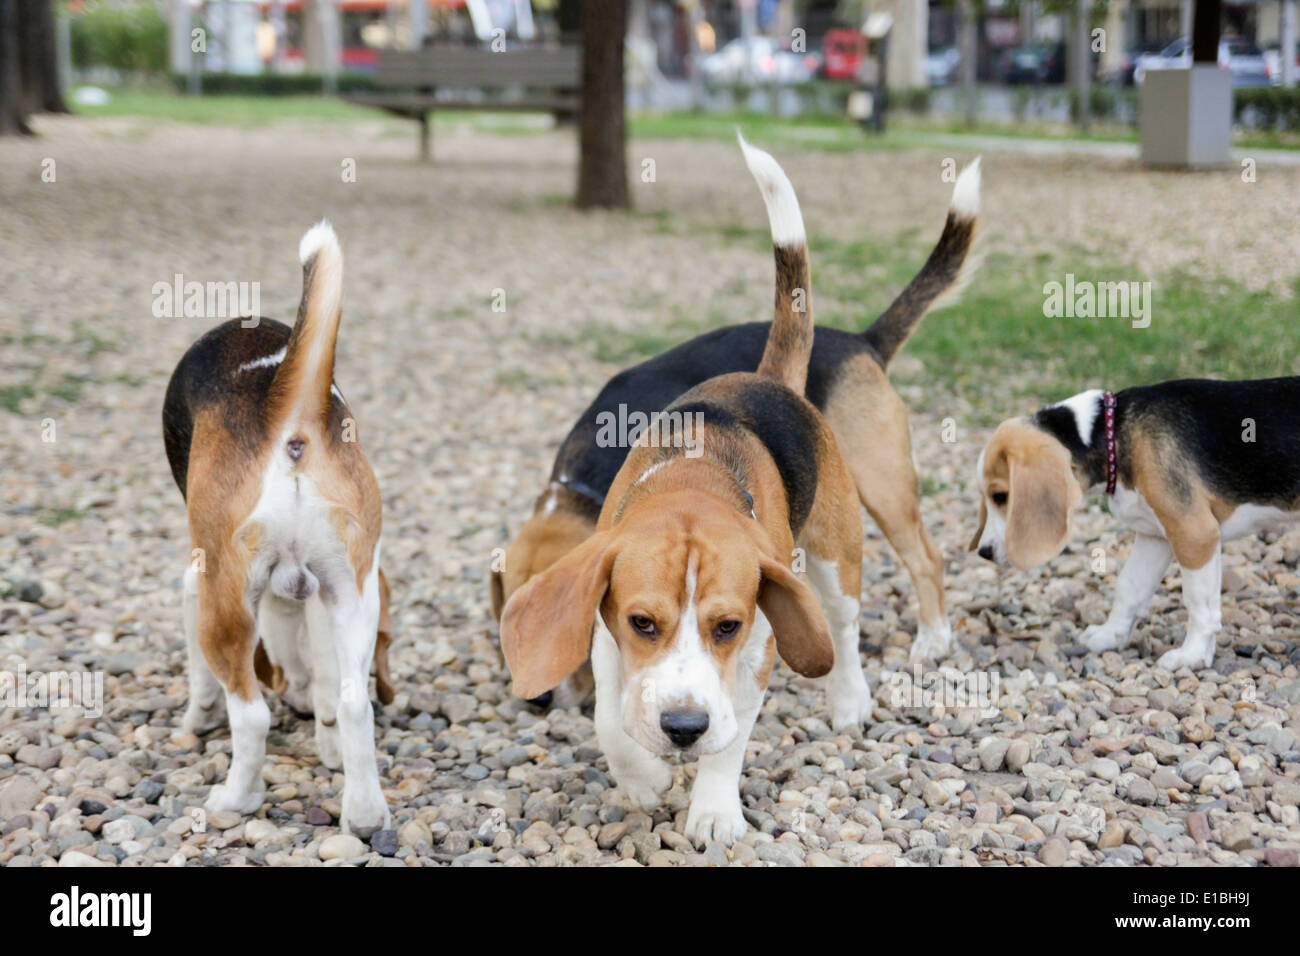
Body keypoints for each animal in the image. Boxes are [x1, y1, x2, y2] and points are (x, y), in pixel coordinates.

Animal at [161, 223, 387, 837]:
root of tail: (291, 420)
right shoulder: (316, 593)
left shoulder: (199, 583)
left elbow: (205, 683)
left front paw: (196, 718)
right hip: (357, 590)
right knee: (355, 704)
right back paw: (364, 814)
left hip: (225, 608)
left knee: (252, 716)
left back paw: (234, 799)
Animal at [501, 140, 868, 842]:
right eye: (642, 622)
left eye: (727, 626)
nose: (683, 729)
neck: (692, 487)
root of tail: (765, 378)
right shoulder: (605, 638)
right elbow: (609, 719)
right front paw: (643, 780)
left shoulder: (756, 650)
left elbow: (730, 740)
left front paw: (715, 811)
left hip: (836, 561)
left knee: (845, 629)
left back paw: (851, 702)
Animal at [972, 382, 1300, 671]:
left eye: (1001, 497)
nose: (984, 552)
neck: (1112, 432)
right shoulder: (1155, 537)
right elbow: (1129, 587)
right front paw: (1110, 635)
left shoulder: (1195, 534)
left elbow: (1199, 603)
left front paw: (1191, 656)